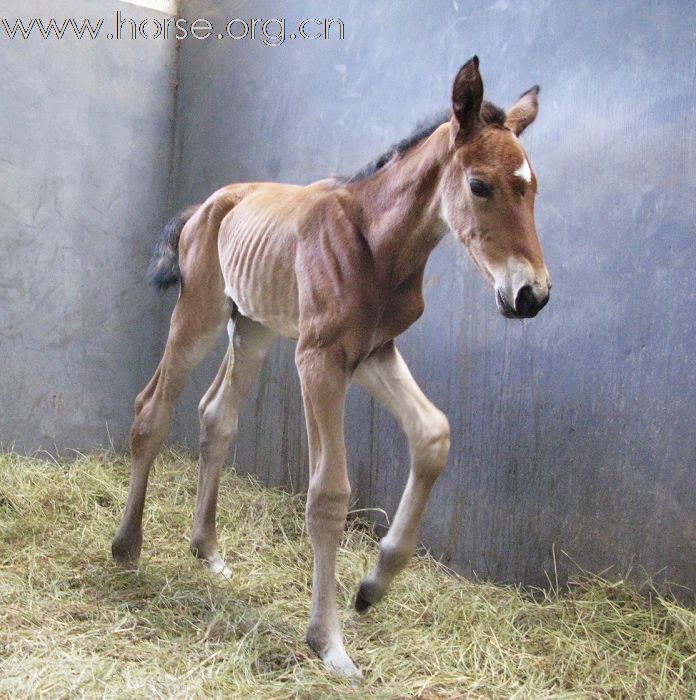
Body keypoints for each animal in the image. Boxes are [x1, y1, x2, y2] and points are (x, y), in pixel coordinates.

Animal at [113, 57, 548, 680]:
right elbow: (329, 494)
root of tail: (205, 204)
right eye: (479, 184)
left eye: (532, 187)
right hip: (199, 313)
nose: (531, 295)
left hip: (253, 327)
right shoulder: (318, 359)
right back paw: (127, 547)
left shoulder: (371, 352)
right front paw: (329, 642)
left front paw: (373, 585)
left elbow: (434, 434)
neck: (376, 246)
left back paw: (208, 550)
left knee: (216, 415)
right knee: (153, 408)